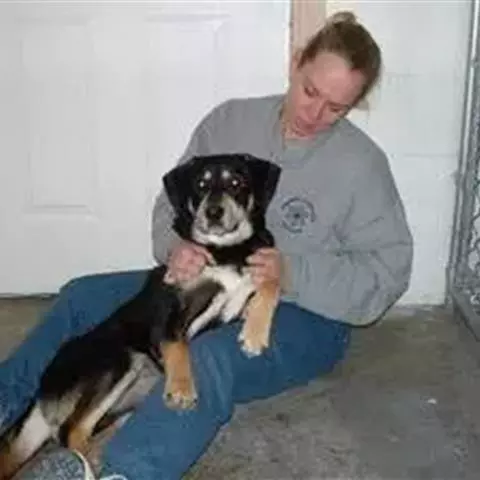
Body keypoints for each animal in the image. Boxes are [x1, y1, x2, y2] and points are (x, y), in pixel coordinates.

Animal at [0, 153, 282, 479]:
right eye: (201, 184)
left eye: (236, 183)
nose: (213, 213)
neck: (225, 249)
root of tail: (42, 389)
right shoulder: (168, 311)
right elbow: (177, 344)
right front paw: (181, 389)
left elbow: (271, 285)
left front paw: (254, 336)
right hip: (120, 359)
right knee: (70, 431)